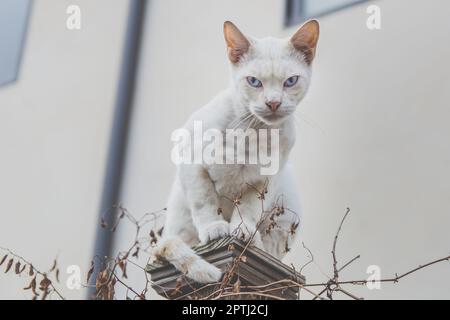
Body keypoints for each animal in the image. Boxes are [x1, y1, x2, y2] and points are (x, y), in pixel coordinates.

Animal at [155, 20, 320, 282]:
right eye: (254, 81)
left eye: (290, 81)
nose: (273, 103)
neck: (251, 133)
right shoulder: (193, 166)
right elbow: (205, 201)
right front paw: (214, 228)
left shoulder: (263, 181)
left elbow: (248, 209)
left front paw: (243, 230)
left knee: (272, 247)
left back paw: (260, 244)